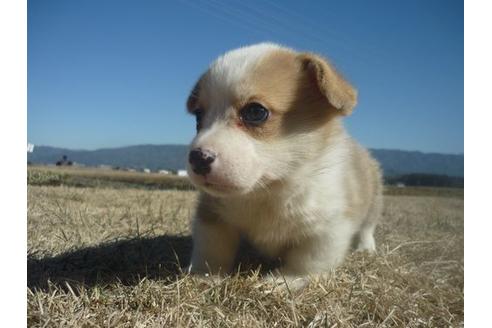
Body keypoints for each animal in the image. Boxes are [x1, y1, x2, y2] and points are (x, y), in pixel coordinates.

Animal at [186, 42, 382, 280]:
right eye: (198, 115)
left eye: (255, 112)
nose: (197, 158)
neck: (269, 190)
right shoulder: (212, 215)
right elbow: (211, 249)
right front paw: (205, 275)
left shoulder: (328, 229)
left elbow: (306, 263)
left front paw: (283, 281)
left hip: (374, 200)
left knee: (367, 228)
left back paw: (366, 248)